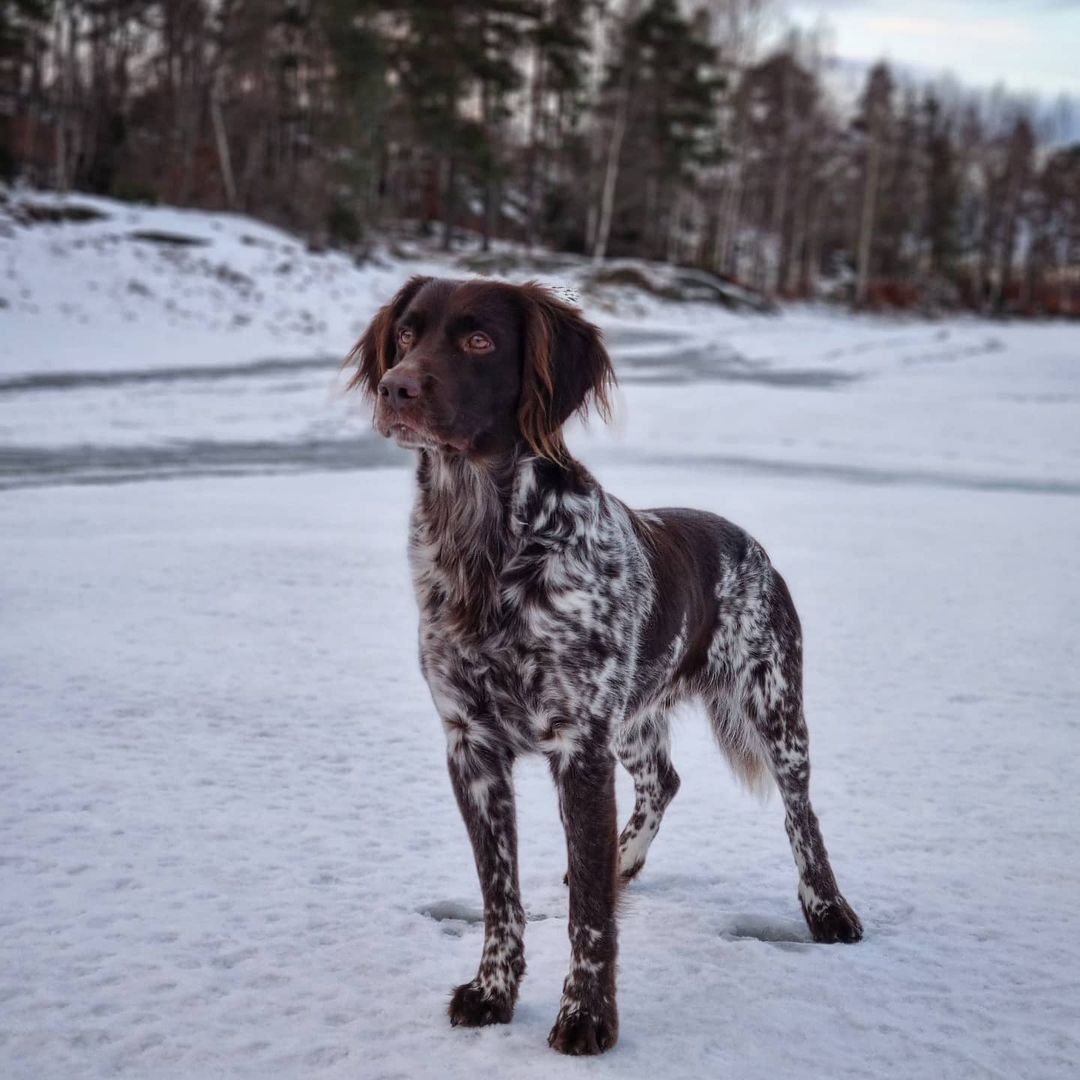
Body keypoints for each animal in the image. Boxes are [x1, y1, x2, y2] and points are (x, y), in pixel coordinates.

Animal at [349, 276, 864, 1054]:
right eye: (406, 335)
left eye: (480, 341)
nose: (396, 387)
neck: (483, 547)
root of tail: (747, 542)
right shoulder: (472, 747)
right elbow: (500, 895)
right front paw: (493, 992)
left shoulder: (579, 747)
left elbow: (589, 916)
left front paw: (587, 1016)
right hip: (636, 716)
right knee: (665, 781)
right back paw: (626, 859)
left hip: (773, 706)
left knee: (800, 814)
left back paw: (827, 909)